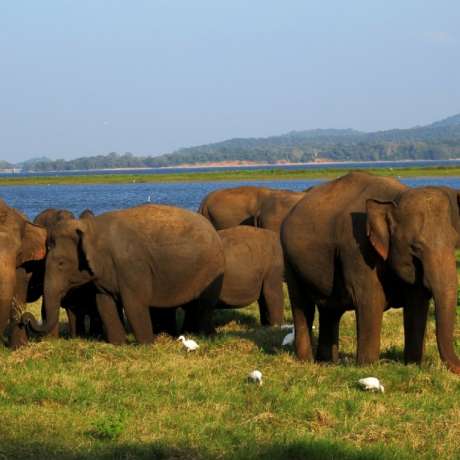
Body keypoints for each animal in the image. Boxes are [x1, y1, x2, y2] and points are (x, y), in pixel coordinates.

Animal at [22, 203, 225, 344]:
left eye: (61, 263)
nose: (26, 318)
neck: (91, 228)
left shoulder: (132, 266)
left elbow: (134, 304)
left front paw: (146, 345)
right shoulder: (104, 275)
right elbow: (104, 304)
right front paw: (118, 344)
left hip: (212, 269)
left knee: (203, 305)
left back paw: (204, 336)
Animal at [280, 172, 460, 374]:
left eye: (455, 242)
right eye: (415, 247)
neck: (394, 198)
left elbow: (417, 303)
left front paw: (413, 365)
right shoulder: (357, 249)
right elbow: (370, 300)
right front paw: (368, 367)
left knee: (330, 310)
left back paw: (327, 362)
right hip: (289, 260)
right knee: (302, 306)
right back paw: (306, 361)